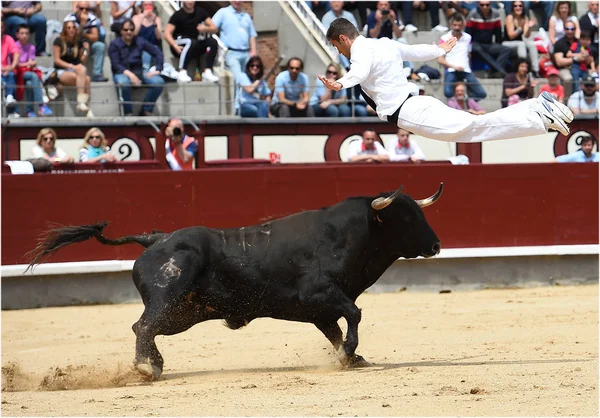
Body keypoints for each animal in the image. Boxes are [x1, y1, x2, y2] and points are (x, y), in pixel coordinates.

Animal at [27, 182, 440, 378]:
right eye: (406, 218)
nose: (436, 245)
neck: (347, 235)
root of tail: (156, 239)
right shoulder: (318, 294)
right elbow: (353, 314)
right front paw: (349, 354)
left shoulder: (318, 311)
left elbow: (336, 331)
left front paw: (351, 358)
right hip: (169, 297)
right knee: (143, 325)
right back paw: (146, 367)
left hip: (183, 313)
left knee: (146, 327)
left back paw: (154, 364)